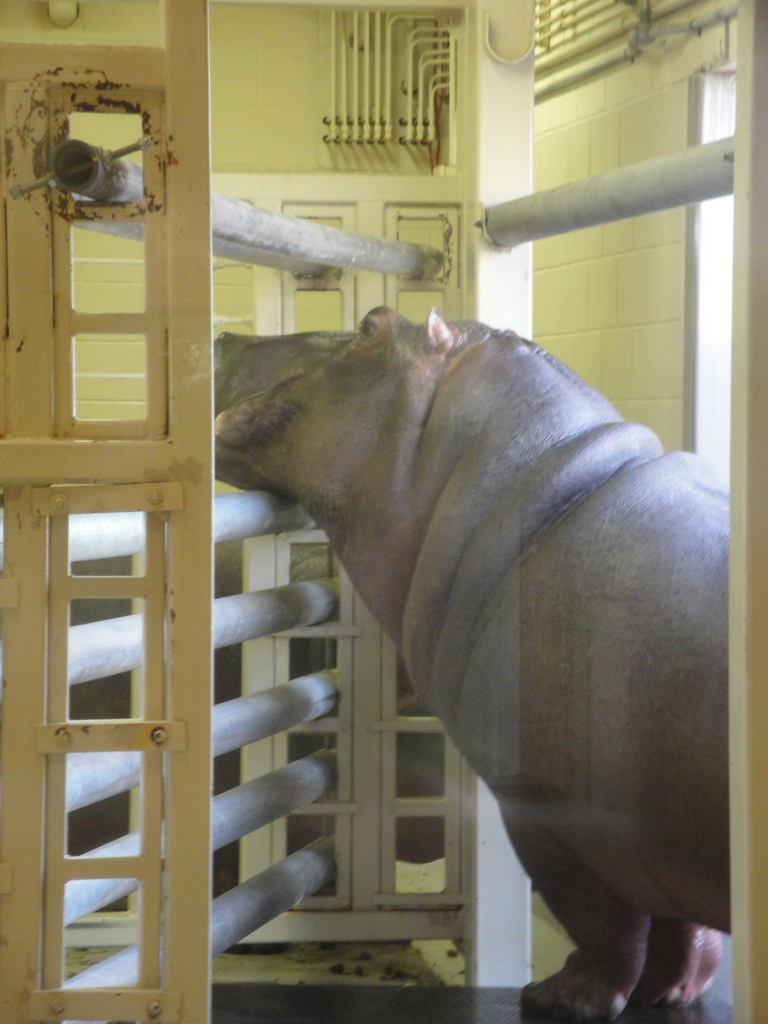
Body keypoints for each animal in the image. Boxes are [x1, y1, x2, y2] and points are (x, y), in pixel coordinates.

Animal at [213, 307, 729, 1021]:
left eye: (370, 325)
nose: (224, 334)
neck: (546, 487)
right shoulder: (657, 835)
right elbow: (682, 925)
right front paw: (667, 993)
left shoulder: (552, 814)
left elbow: (602, 921)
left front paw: (561, 997)